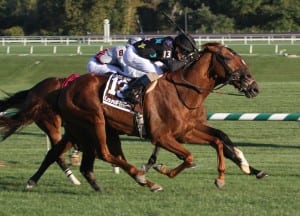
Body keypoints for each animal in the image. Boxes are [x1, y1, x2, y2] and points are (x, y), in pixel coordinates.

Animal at [27, 42, 268, 192]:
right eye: (228, 58)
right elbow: (189, 157)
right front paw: (163, 169)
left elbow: (218, 140)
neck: (185, 91)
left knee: (66, 155)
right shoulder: (163, 137)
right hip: (95, 122)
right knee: (104, 153)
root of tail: (65, 87)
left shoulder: (187, 131)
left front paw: (227, 175)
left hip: (84, 130)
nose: (254, 87)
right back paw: (144, 178)